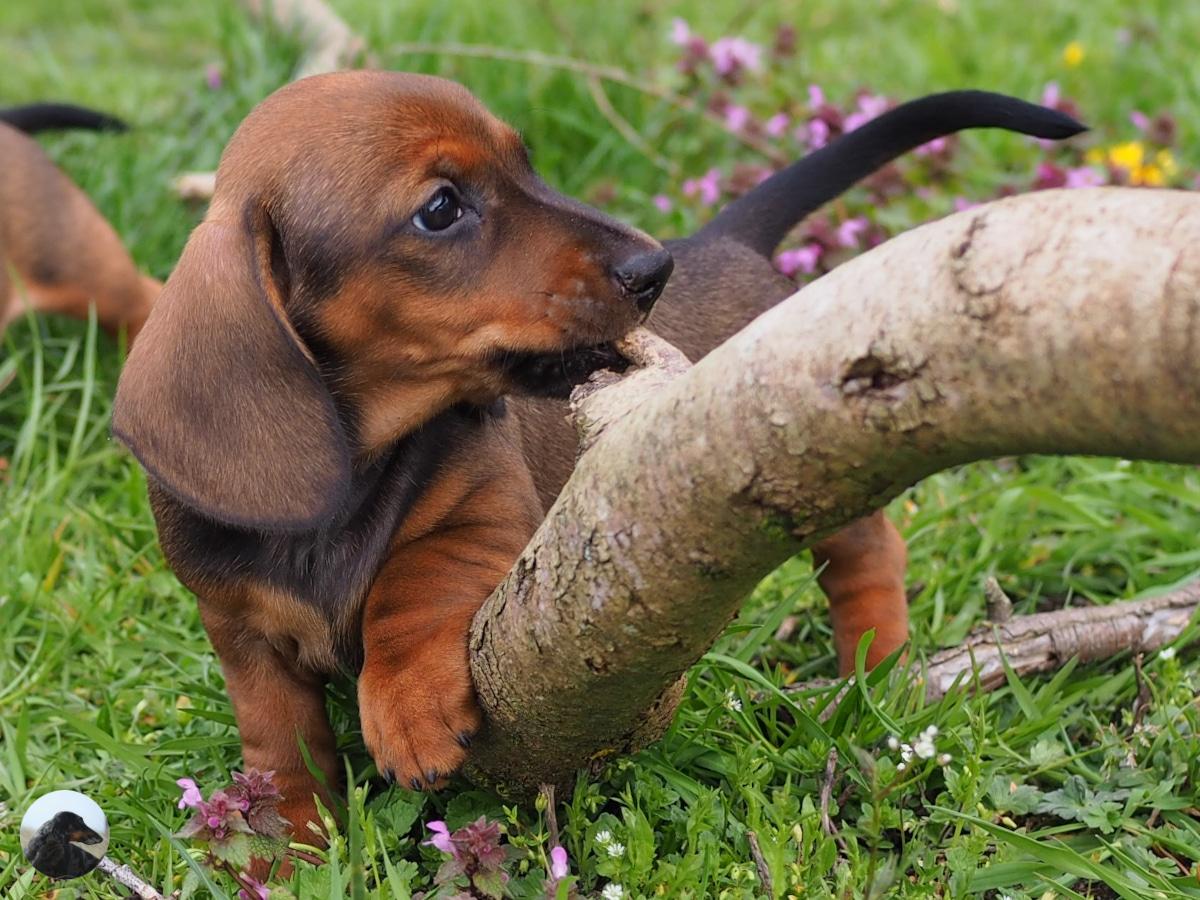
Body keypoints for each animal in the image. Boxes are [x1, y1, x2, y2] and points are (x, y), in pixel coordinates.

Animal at [112, 73, 1082, 840]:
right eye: (440, 208)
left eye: (526, 161)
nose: (651, 271)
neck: (359, 462)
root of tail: (723, 239)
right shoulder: (239, 633)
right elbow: (281, 745)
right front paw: (289, 849)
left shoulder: (492, 521)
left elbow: (413, 578)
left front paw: (407, 703)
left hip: (797, 448)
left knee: (868, 551)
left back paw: (873, 664)